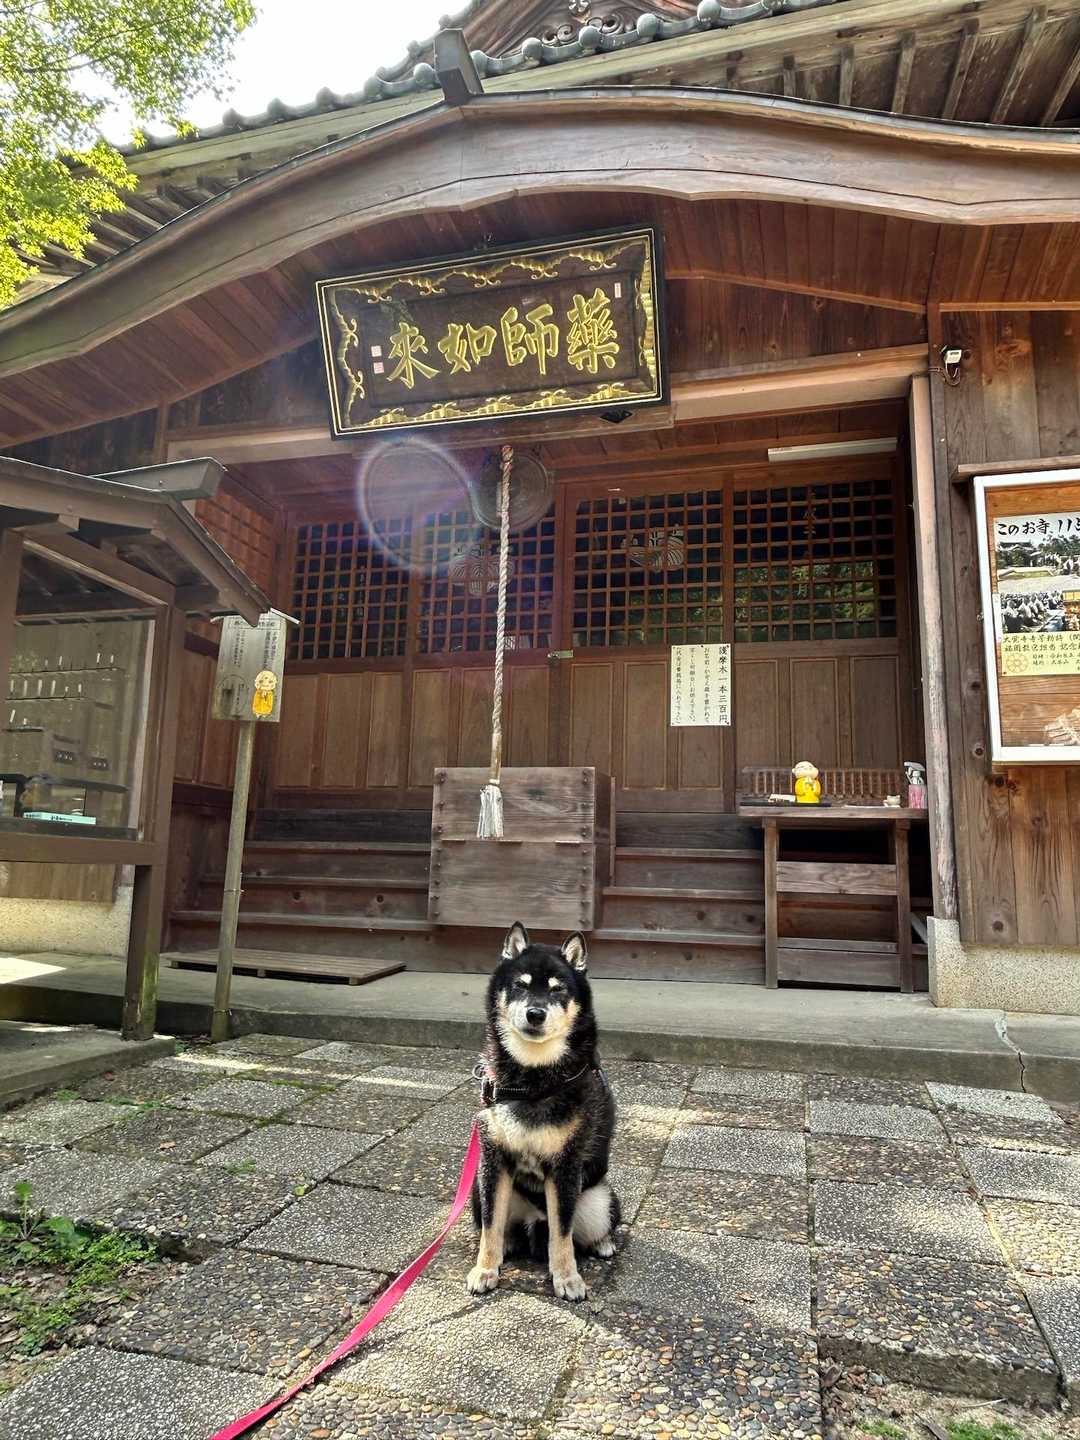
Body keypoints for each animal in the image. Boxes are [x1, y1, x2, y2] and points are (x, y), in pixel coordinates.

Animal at [467, 921, 620, 1301]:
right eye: (520, 985)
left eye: (557, 989)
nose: (535, 1013)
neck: (533, 1079)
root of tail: (534, 1218)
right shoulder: (493, 1160)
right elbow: (490, 1227)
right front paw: (485, 1268)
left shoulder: (565, 1166)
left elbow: (562, 1235)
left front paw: (567, 1278)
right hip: (477, 1189)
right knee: (501, 1227)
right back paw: (506, 1246)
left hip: (599, 1199)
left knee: (580, 1231)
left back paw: (603, 1243)